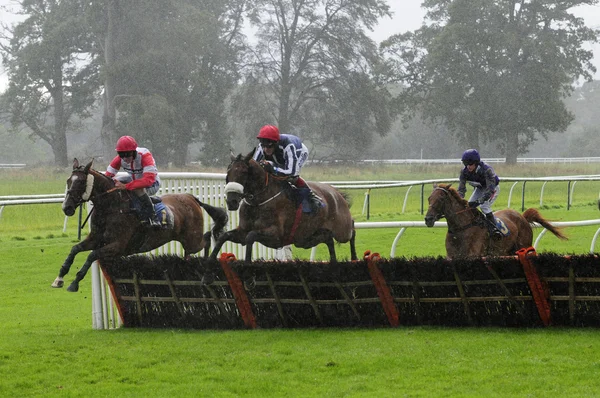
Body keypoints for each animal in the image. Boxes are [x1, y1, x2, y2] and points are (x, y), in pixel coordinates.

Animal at [51, 159, 229, 292]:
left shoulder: (117, 245)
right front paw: (59, 278)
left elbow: (91, 255)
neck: (111, 206)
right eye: (68, 181)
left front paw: (74, 283)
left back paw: (206, 269)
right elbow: (75, 249)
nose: (66, 207)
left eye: (81, 181)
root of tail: (191, 197)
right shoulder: (96, 238)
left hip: (192, 239)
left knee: (206, 238)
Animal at [209, 152, 356, 262]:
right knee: (329, 240)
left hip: (342, 231)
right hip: (306, 239)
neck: (258, 202)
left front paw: (247, 263)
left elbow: (251, 236)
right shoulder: (242, 231)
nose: (232, 201)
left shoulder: (277, 236)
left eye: (244, 172)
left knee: (352, 231)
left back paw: (354, 258)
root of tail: (337, 193)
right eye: (228, 172)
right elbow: (224, 237)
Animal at [422, 183, 568, 258]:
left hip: (523, 246)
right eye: (429, 198)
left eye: (441, 199)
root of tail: (522, 217)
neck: (462, 228)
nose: (428, 219)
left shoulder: (475, 255)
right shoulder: (452, 257)